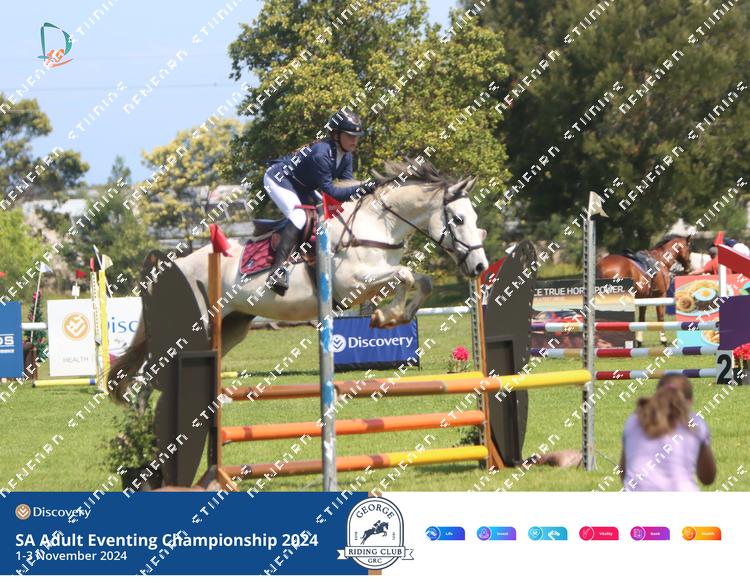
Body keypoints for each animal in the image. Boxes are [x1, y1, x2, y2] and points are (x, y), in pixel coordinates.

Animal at [108, 160, 489, 404]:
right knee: (155, 366)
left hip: (231, 325)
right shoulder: (352, 282)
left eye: (475, 218)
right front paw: (388, 316)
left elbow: (420, 280)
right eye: (458, 219)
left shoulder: (374, 278)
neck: (377, 224)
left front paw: (395, 316)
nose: (480, 265)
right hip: (193, 323)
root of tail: (176, 264)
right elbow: (406, 276)